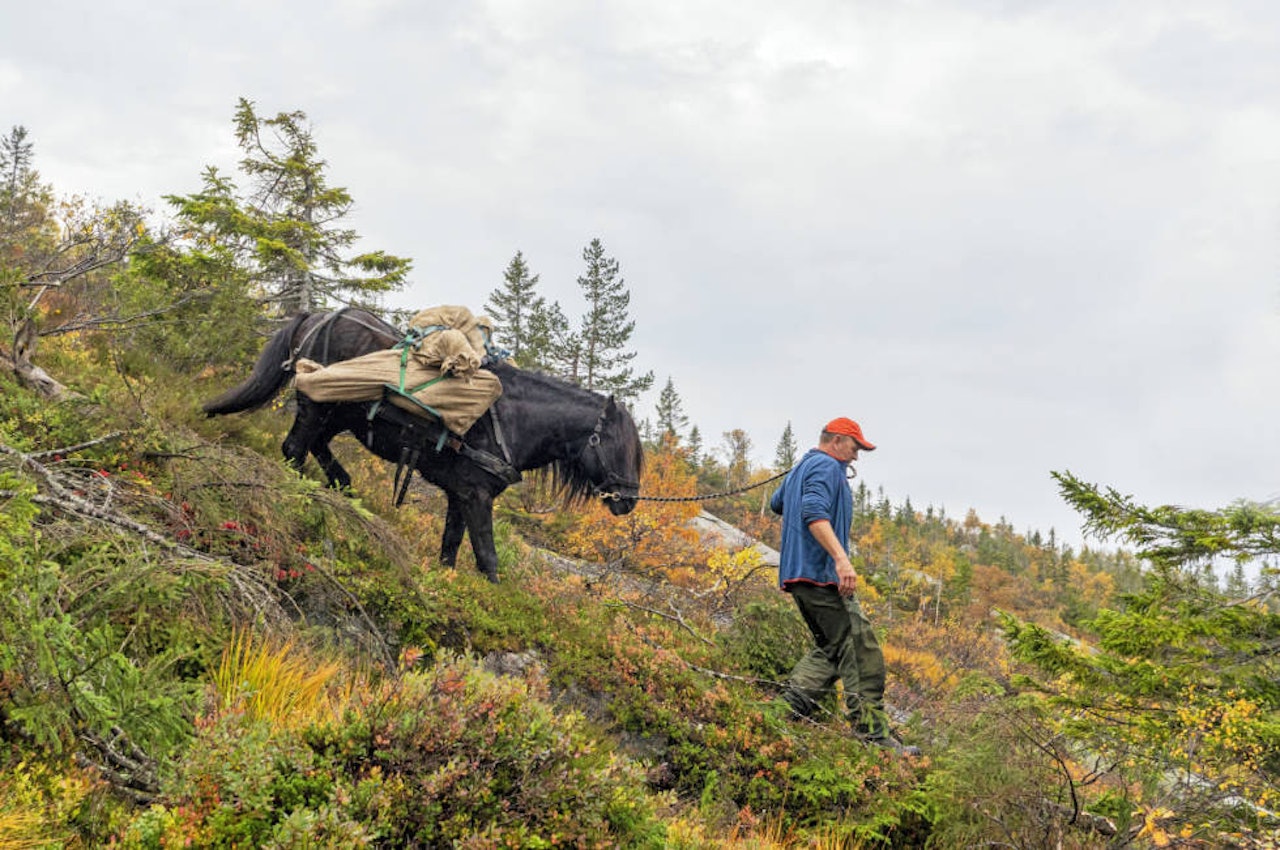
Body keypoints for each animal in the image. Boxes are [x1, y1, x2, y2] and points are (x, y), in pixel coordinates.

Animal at [203, 308, 645, 581]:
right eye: (614, 443)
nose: (628, 500)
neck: (513, 420)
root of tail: (316, 316)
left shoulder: (460, 495)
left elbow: (450, 550)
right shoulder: (476, 495)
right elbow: (487, 558)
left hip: (339, 415)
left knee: (316, 449)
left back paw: (345, 488)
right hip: (316, 405)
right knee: (293, 449)